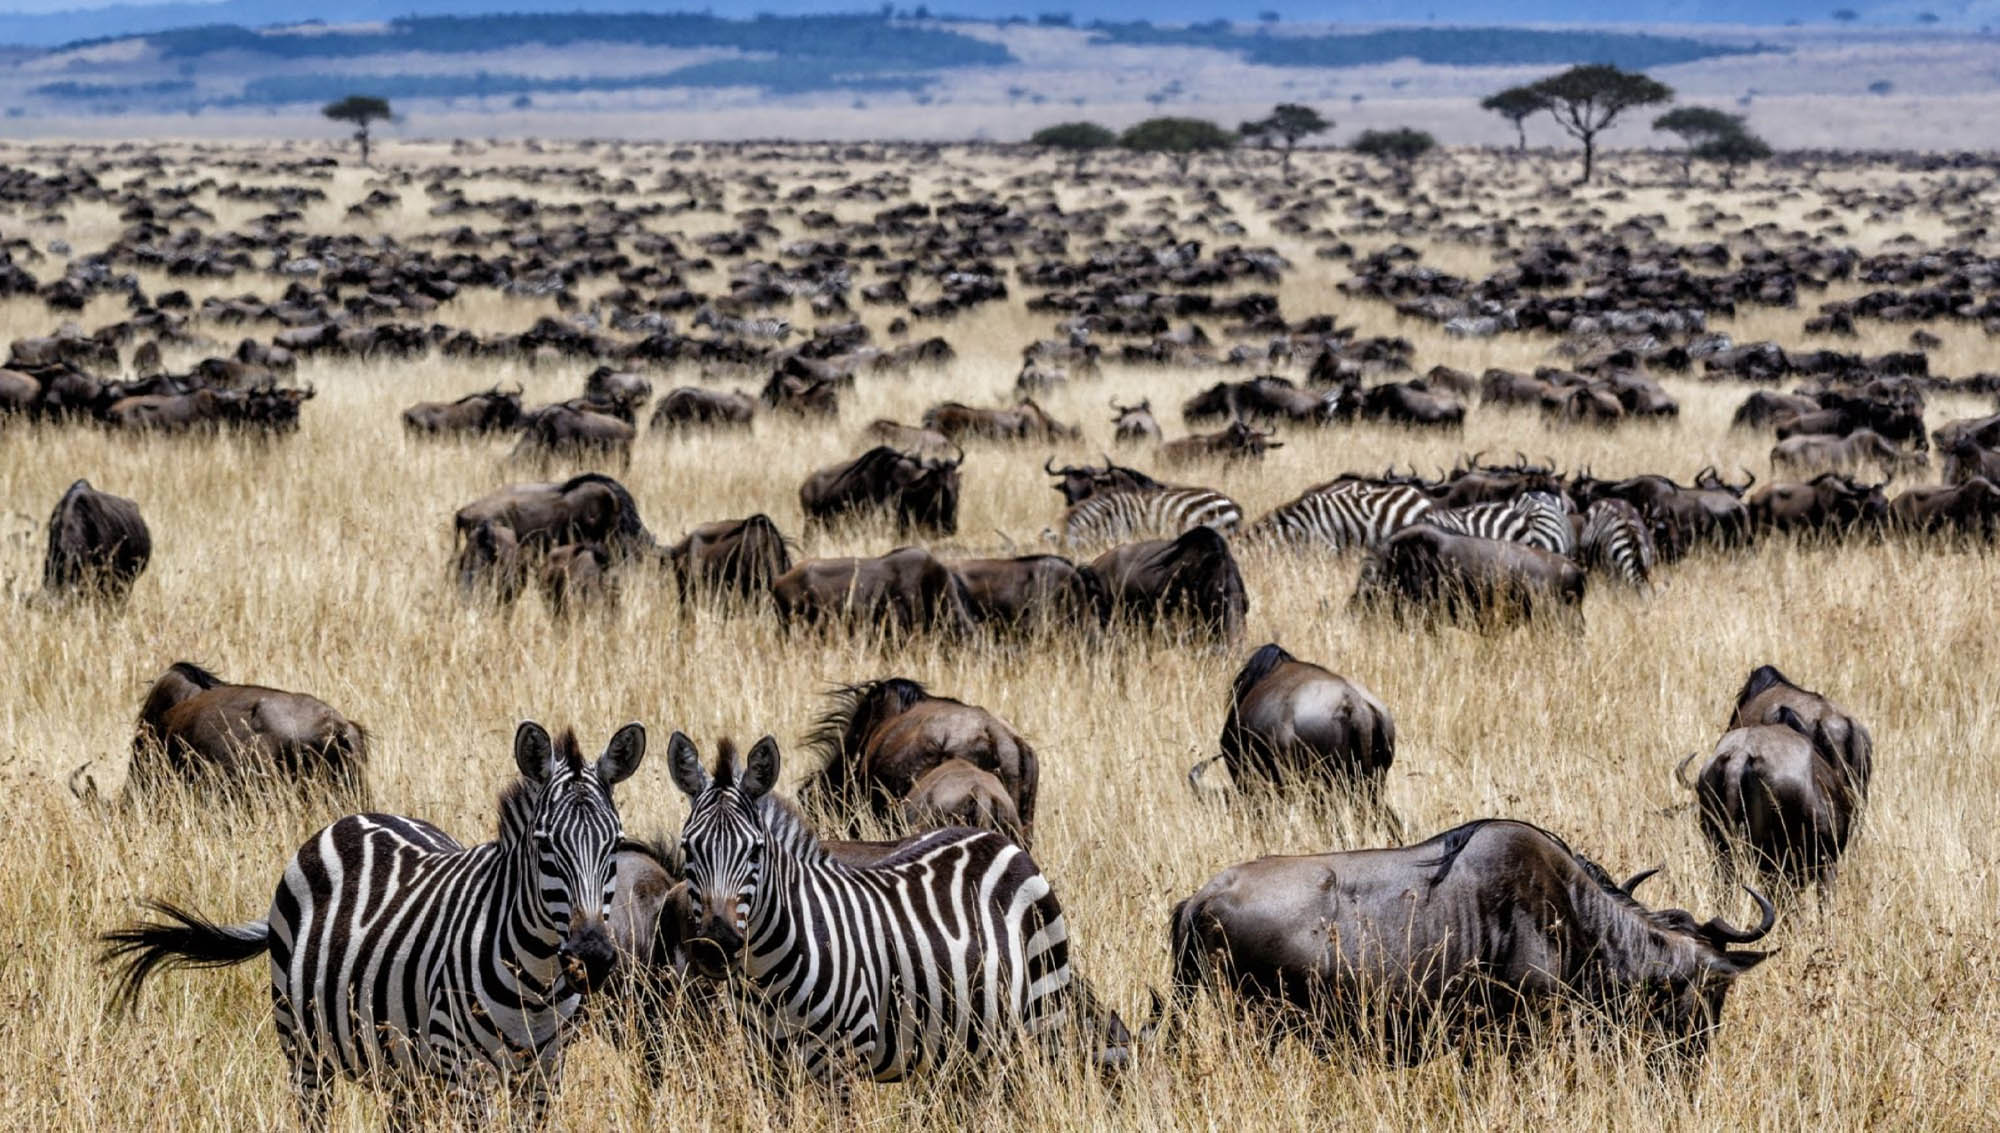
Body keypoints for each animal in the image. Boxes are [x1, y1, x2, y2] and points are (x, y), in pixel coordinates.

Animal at [101, 724, 648, 1128]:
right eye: (544, 845)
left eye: (616, 843)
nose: (592, 956)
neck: (533, 982)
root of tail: (352, 818)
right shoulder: (464, 1072)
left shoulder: (545, 1073)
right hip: (302, 1046)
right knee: (312, 1108)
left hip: (400, 1066)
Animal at [672, 732, 1136, 1088]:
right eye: (688, 848)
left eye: (756, 851)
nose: (715, 945)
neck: (766, 971)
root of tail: (997, 839)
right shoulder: (765, 1066)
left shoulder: (842, 1061)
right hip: (969, 1041)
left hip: (1043, 1020)